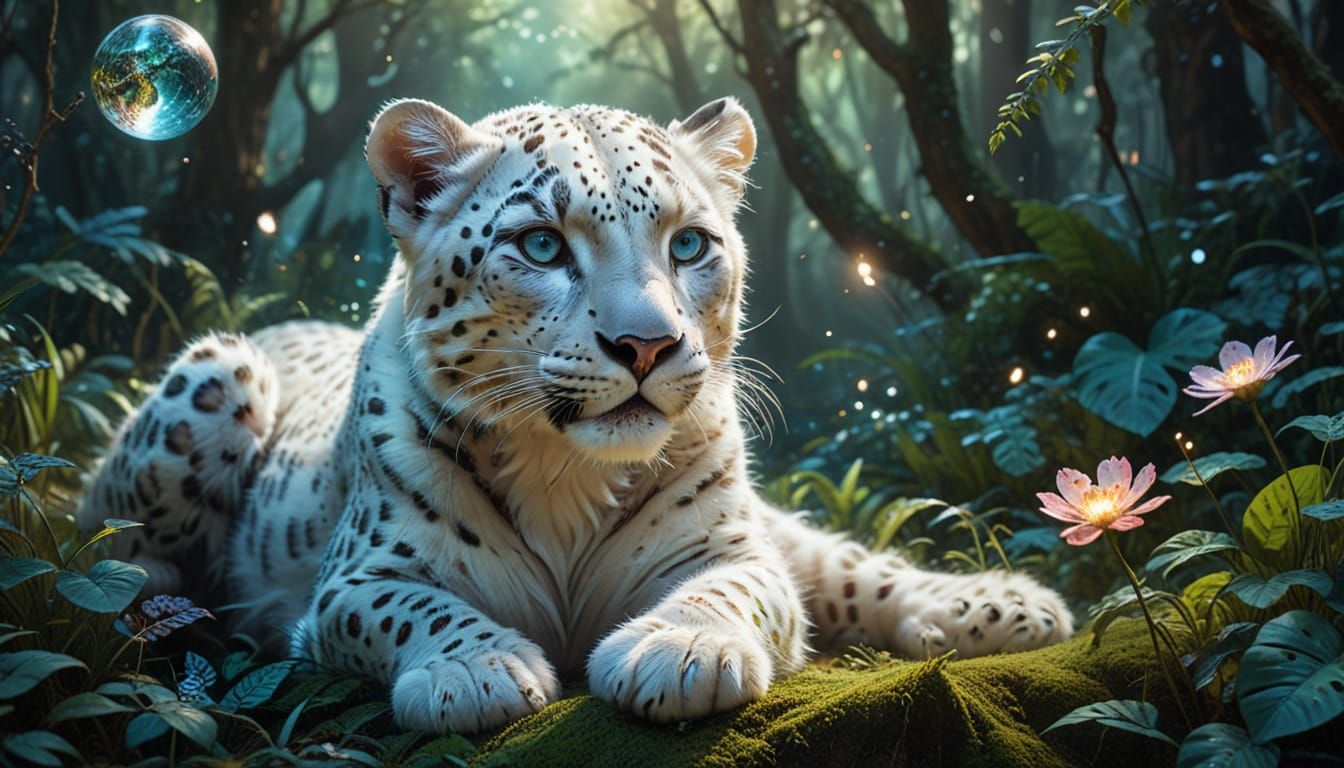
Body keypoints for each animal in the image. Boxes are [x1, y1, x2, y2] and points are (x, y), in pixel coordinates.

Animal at [79, 96, 1073, 734]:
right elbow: (413, 607)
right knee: (110, 553)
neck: (564, 470)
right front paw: (474, 669)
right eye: (542, 245)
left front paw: (681, 650)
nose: (648, 345)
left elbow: (738, 589)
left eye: (690, 244)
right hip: (222, 369)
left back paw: (1007, 606)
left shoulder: (731, 547)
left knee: (844, 565)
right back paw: (169, 618)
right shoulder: (351, 582)